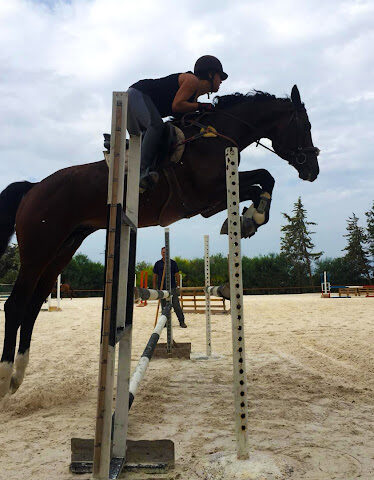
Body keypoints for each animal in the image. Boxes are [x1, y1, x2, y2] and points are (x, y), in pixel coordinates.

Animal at [0, 85, 318, 398]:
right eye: (305, 126)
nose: (312, 171)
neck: (216, 136)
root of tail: (33, 187)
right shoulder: (207, 194)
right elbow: (263, 177)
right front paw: (253, 215)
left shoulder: (210, 202)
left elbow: (262, 181)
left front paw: (249, 219)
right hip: (39, 250)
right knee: (15, 305)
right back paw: (5, 377)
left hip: (63, 249)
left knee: (33, 305)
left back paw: (18, 375)